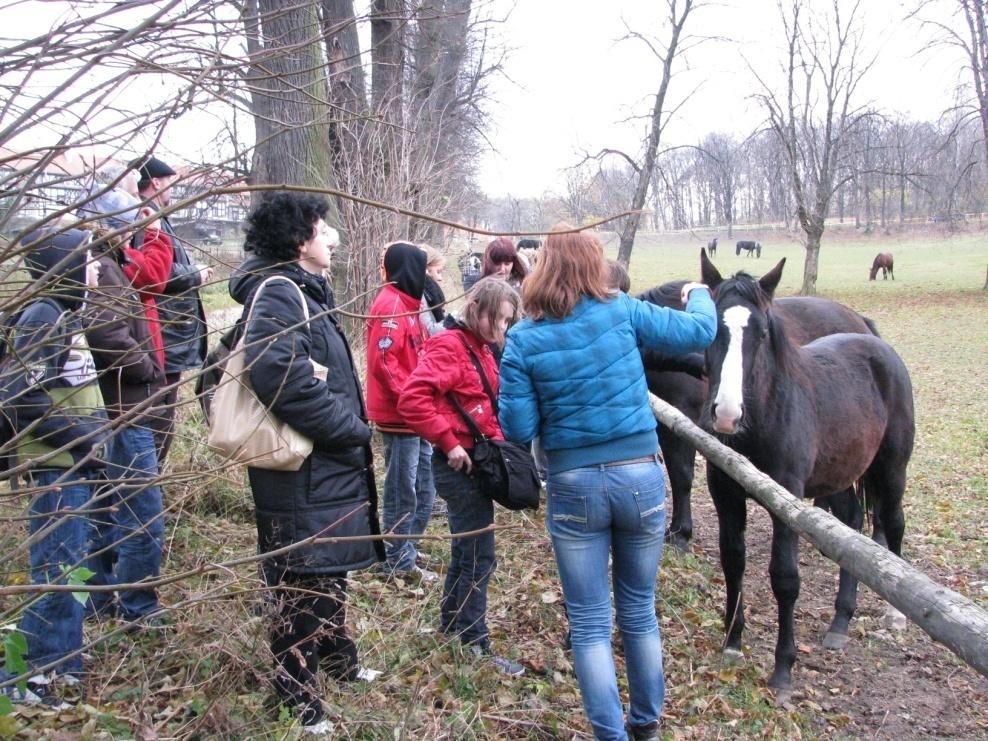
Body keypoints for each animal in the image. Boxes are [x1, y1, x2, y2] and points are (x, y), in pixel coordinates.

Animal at [700, 253, 916, 700]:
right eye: (711, 327)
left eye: (762, 332)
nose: (726, 414)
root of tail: (877, 343)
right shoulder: (726, 493)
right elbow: (733, 560)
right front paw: (732, 644)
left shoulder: (788, 500)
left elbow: (785, 578)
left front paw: (783, 670)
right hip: (841, 476)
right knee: (851, 526)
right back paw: (840, 623)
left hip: (890, 471)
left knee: (892, 525)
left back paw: (895, 615)